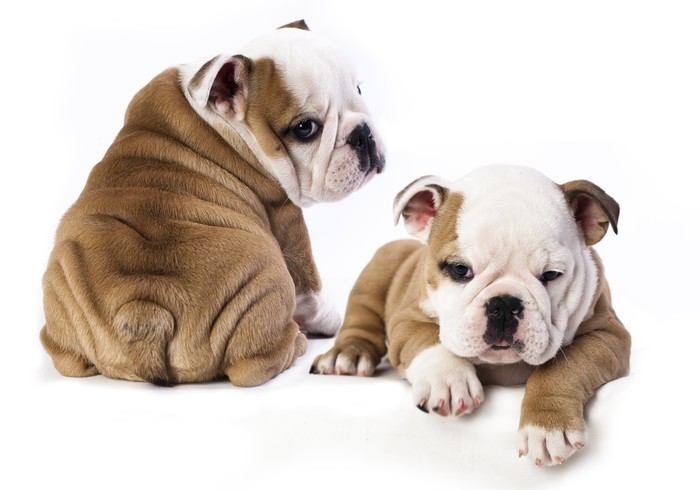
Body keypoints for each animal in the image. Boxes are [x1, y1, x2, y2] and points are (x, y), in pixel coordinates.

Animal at [40, 20, 385, 387]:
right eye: (305, 128)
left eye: (358, 89)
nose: (363, 135)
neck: (230, 127)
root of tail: (146, 309)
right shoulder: (286, 218)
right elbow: (313, 287)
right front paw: (331, 320)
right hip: (270, 277)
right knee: (249, 367)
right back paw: (296, 343)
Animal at [312, 165, 631, 466]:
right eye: (459, 269)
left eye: (551, 275)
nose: (504, 305)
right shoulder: (406, 319)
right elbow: (427, 339)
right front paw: (449, 381)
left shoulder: (608, 335)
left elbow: (564, 367)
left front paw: (546, 425)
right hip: (381, 266)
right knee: (361, 317)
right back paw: (348, 355)